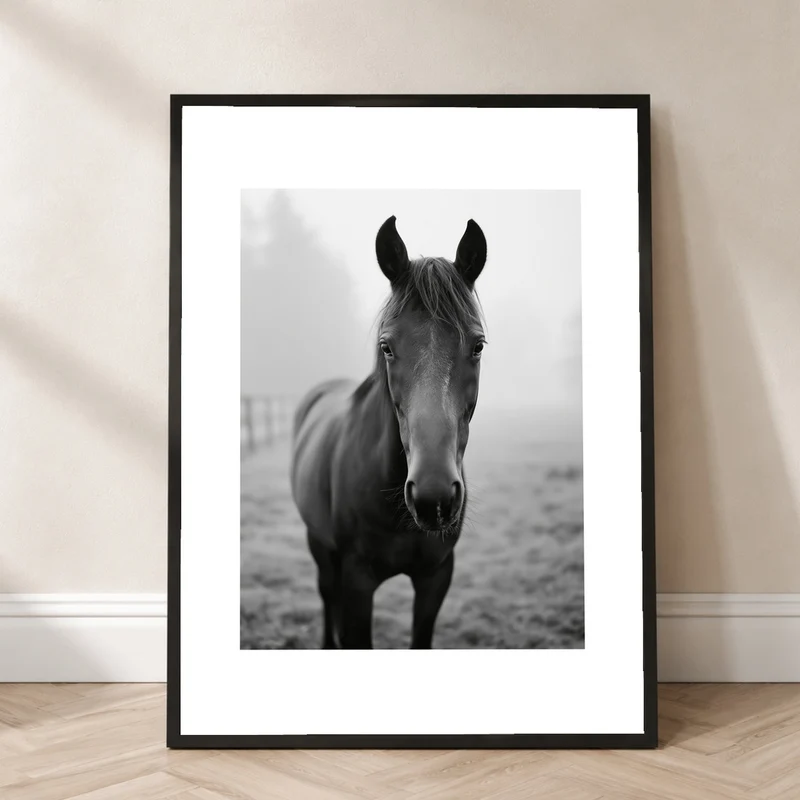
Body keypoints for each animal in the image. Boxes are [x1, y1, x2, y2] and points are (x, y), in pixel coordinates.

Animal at [290, 216, 488, 649]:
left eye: (478, 345)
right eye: (387, 347)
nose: (434, 497)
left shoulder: (435, 579)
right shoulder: (357, 583)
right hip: (319, 544)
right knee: (326, 593)